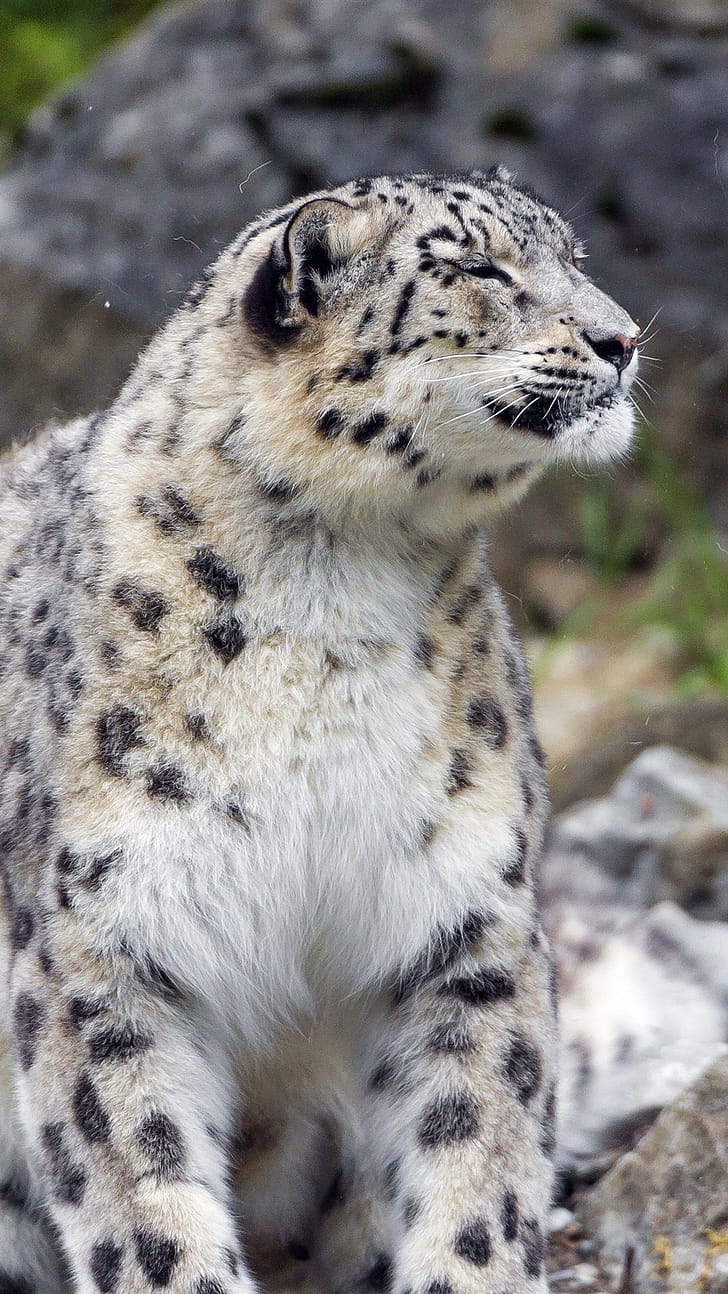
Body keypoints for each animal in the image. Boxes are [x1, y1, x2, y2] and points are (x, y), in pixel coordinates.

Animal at [0, 167, 639, 1294]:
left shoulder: (462, 916)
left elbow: (478, 1150)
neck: (332, 589)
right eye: (479, 267)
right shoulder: (101, 946)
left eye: (574, 257)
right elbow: (141, 1188)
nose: (625, 339)